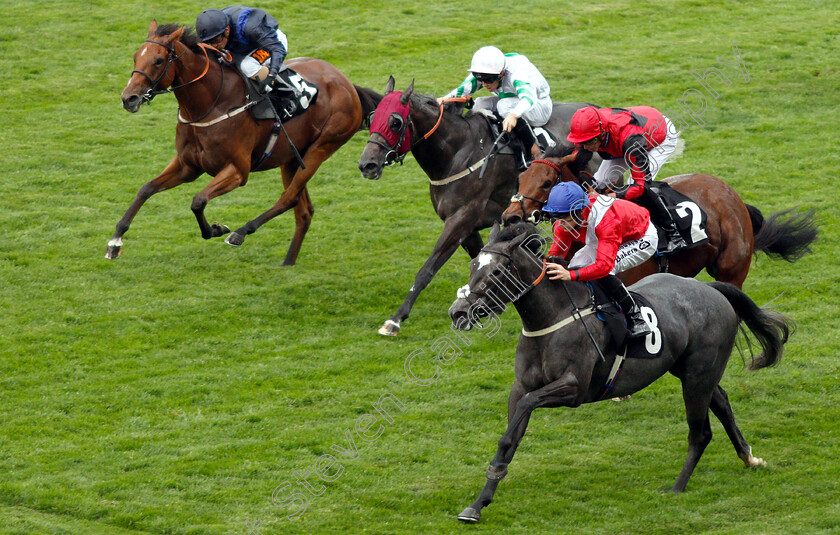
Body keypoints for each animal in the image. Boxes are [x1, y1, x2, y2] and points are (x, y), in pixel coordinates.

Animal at [110, 22, 382, 264]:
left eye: (158, 61)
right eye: (135, 57)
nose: (128, 98)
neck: (211, 104)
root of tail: (348, 84)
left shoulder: (238, 171)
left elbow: (198, 200)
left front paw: (217, 229)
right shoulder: (188, 166)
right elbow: (146, 189)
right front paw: (115, 241)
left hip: (322, 147)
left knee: (289, 198)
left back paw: (240, 233)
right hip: (292, 157)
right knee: (303, 210)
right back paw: (287, 263)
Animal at [358, 76, 600, 336]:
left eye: (395, 122)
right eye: (372, 118)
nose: (367, 164)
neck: (458, 154)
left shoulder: (461, 219)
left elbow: (427, 269)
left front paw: (395, 320)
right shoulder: (467, 228)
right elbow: (483, 257)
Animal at [450, 222, 792, 524]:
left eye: (496, 272)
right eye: (472, 266)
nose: (458, 312)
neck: (553, 318)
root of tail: (710, 289)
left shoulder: (574, 388)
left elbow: (528, 405)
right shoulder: (520, 386)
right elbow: (509, 438)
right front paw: (478, 504)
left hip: (698, 375)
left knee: (701, 432)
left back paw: (678, 486)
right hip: (691, 371)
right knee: (720, 401)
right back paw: (749, 457)